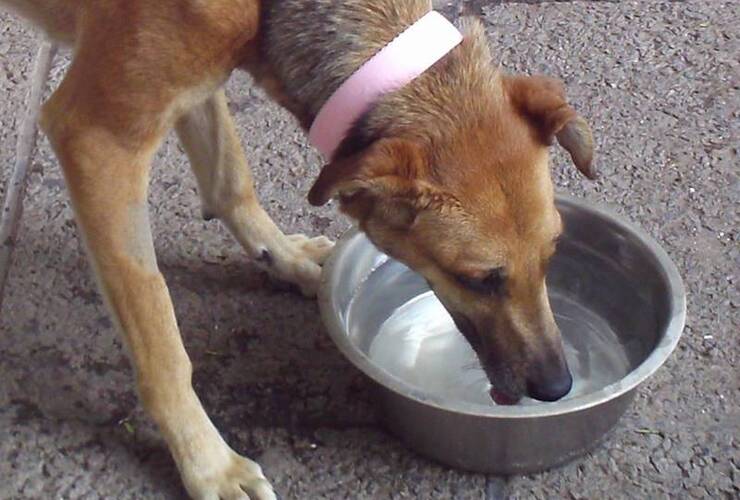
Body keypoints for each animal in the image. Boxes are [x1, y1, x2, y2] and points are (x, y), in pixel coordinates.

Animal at [0, 1, 588, 498]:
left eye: (553, 253)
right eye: (476, 279)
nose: (558, 387)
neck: (271, 12)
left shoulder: (197, 84)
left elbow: (229, 177)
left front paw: (282, 256)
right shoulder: (98, 142)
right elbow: (160, 339)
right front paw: (208, 464)